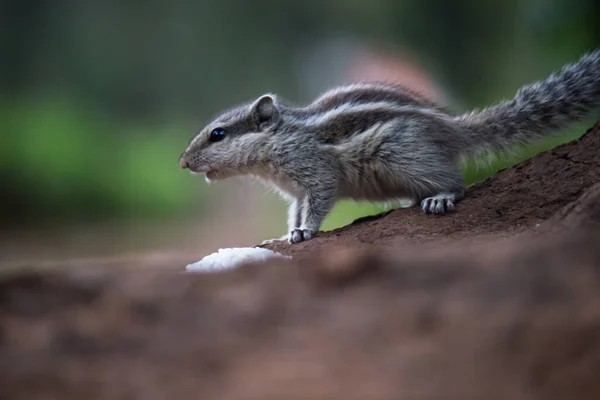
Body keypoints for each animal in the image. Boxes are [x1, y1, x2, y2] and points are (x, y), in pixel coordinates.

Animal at [178, 50, 600, 244]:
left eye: (218, 134)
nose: (182, 163)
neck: (281, 139)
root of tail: (451, 129)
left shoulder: (315, 172)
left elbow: (318, 202)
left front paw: (306, 232)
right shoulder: (295, 191)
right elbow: (296, 211)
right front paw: (286, 235)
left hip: (402, 153)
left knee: (455, 181)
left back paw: (440, 197)